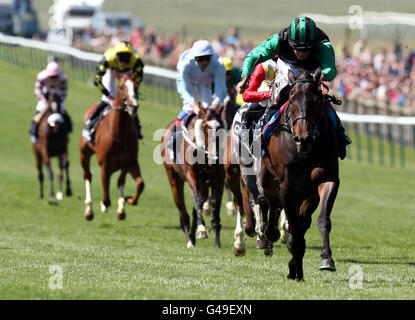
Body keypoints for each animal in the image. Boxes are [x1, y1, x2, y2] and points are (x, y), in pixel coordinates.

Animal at [79, 74, 145, 221]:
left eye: (136, 86)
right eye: (121, 87)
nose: (133, 106)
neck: (119, 135)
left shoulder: (129, 162)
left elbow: (135, 183)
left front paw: (126, 204)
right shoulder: (105, 165)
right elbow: (106, 196)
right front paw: (104, 205)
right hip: (84, 153)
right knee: (88, 176)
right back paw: (89, 211)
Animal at [162, 106, 228, 249]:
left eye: (220, 126)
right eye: (204, 126)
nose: (215, 156)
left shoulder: (218, 180)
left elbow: (215, 209)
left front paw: (217, 243)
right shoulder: (192, 177)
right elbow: (197, 202)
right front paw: (202, 229)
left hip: (204, 185)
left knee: (195, 208)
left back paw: (192, 236)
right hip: (174, 178)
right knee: (182, 210)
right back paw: (189, 238)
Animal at [264, 68, 342, 280]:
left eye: (317, 99)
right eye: (291, 98)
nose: (303, 138)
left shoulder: (326, 180)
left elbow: (322, 220)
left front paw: (326, 259)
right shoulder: (287, 187)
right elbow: (293, 224)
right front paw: (296, 267)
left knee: (303, 220)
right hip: (267, 178)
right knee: (271, 203)